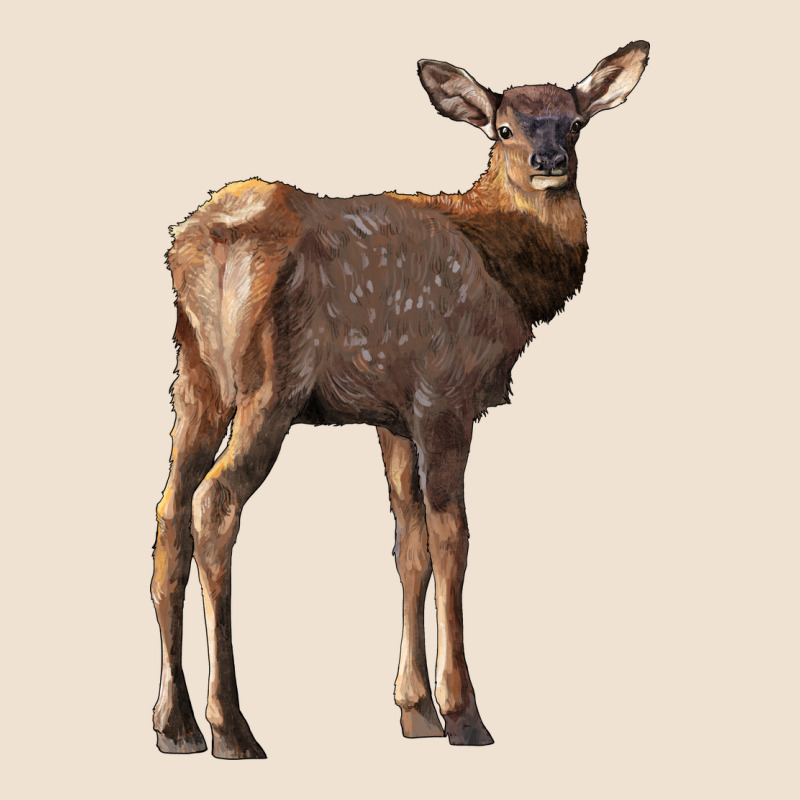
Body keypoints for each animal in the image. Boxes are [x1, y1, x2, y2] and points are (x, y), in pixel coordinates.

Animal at [151, 41, 649, 759]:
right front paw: (463, 714)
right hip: (270, 382)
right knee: (214, 502)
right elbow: (452, 537)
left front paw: (414, 710)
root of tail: (206, 239)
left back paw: (175, 724)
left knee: (169, 511)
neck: (505, 271)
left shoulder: (390, 412)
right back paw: (232, 726)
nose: (549, 162)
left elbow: (407, 543)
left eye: (575, 122)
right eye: (503, 129)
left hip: (194, 376)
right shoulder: (446, 393)